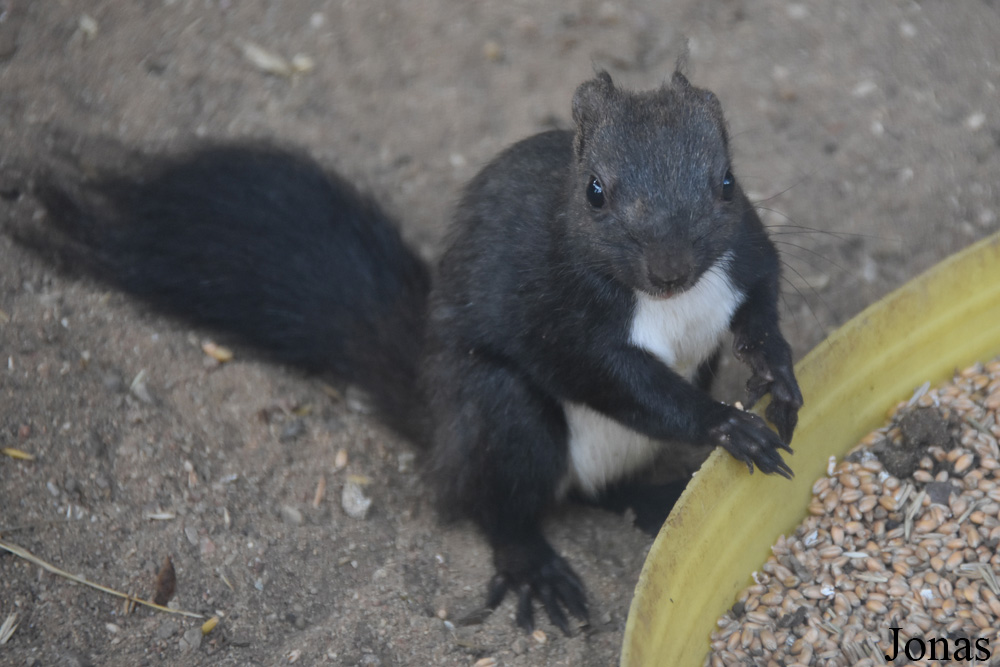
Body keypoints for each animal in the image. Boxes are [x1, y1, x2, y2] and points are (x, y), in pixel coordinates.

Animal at [23, 70, 804, 636]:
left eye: (727, 181)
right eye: (595, 193)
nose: (671, 268)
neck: (671, 303)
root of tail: (440, 432)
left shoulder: (746, 256)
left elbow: (761, 307)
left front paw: (781, 377)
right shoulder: (558, 311)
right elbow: (617, 379)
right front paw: (726, 423)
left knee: (606, 494)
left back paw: (661, 496)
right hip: (499, 414)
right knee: (502, 505)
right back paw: (535, 566)